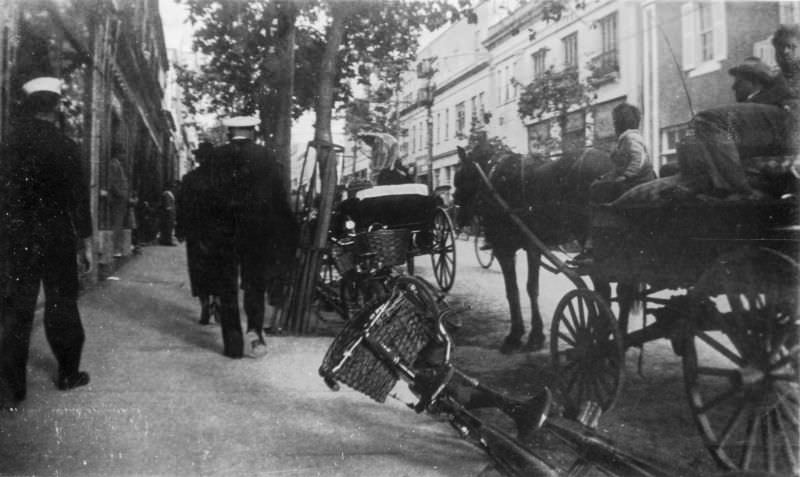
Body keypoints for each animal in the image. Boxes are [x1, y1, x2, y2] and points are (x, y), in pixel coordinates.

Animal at [454, 145, 616, 354]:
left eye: (460, 177)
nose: (458, 218)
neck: (490, 178)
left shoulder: (506, 248)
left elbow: (516, 289)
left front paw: (519, 336)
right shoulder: (532, 247)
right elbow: (529, 288)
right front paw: (533, 335)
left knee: (602, 288)